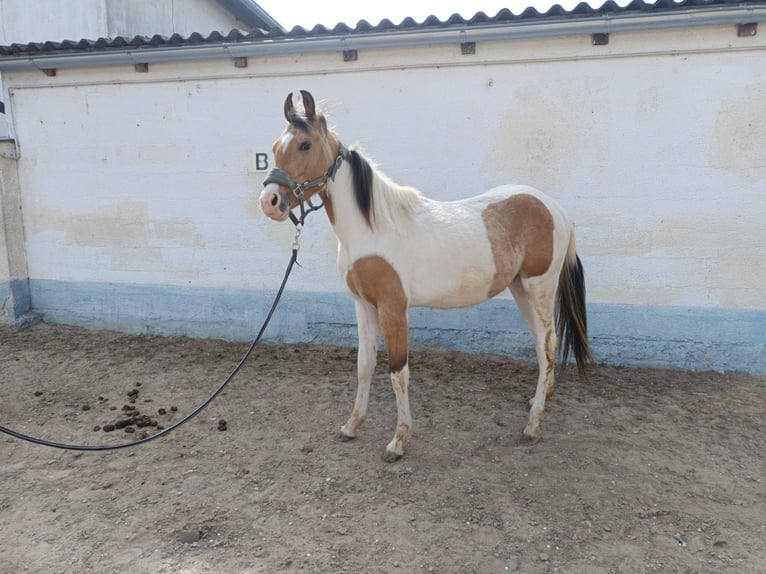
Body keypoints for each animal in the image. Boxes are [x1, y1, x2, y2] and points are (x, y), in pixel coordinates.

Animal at [260, 90, 592, 462]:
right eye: (275, 147)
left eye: (304, 145)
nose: (270, 201)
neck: (372, 229)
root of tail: (557, 210)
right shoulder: (364, 305)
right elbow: (364, 365)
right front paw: (351, 425)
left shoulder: (393, 308)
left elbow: (397, 372)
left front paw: (398, 441)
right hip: (521, 288)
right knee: (540, 344)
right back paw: (539, 403)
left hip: (539, 287)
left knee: (548, 346)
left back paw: (533, 426)